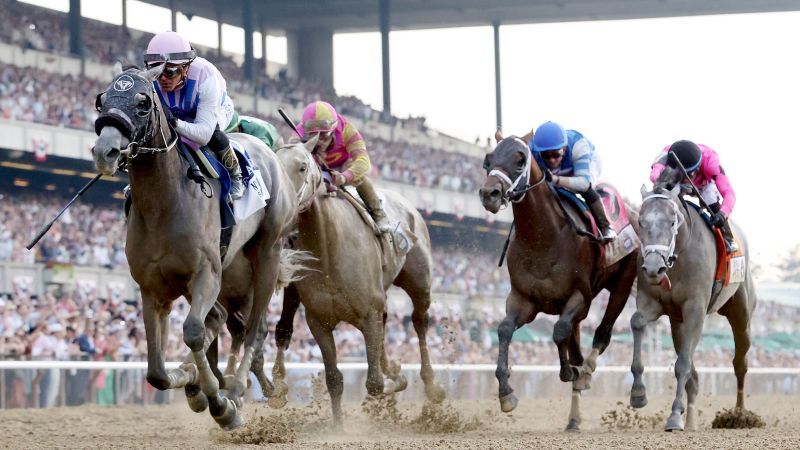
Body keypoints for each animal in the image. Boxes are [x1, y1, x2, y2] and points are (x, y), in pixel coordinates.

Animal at [90, 64, 302, 428]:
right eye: (101, 100)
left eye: (143, 103)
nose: (106, 152)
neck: (164, 204)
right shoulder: (153, 288)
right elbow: (157, 372)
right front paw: (193, 383)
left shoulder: (205, 274)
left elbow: (192, 332)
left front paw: (220, 403)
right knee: (222, 320)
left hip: (266, 253)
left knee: (254, 329)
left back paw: (235, 390)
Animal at [270, 139, 444, 428]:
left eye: (302, 166)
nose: (280, 205)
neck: (329, 251)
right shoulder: (319, 321)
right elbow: (334, 379)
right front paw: (338, 427)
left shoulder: (368, 314)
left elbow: (375, 383)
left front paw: (394, 382)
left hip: (420, 283)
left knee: (420, 322)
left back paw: (431, 386)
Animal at [478, 134, 640, 432]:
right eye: (488, 159)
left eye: (520, 159)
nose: (489, 194)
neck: (542, 238)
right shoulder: (523, 300)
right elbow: (504, 330)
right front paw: (506, 393)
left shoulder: (580, 298)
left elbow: (558, 331)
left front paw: (568, 372)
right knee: (577, 345)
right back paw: (574, 417)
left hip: (623, 284)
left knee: (602, 333)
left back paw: (586, 374)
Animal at [632, 178, 756, 430]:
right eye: (641, 222)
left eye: (672, 222)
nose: (653, 267)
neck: (678, 259)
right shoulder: (653, 302)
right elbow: (637, 321)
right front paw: (638, 393)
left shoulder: (695, 309)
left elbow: (682, 365)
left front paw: (673, 416)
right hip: (677, 324)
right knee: (694, 375)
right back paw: (689, 420)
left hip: (741, 314)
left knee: (740, 362)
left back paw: (739, 414)